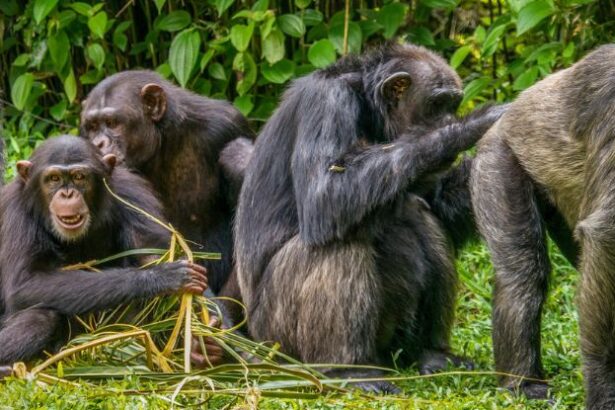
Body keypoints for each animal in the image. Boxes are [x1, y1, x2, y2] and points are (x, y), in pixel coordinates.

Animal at [0, 136, 209, 374]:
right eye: (53, 178)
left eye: (79, 177)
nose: (67, 194)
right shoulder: (15, 213)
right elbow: (26, 282)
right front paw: (161, 278)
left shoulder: (132, 194)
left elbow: (152, 252)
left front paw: (204, 341)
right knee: (41, 317)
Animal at [233, 41, 508, 390]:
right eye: (437, 104)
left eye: (452, 102)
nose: (449, 115)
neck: (367, 106)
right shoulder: (327, 103)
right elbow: (325, 193)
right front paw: (468, 126)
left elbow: (440, 202)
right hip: (279, 340)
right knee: (339, 245)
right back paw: (349, 370)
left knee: (420, 216)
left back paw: (431, 354)